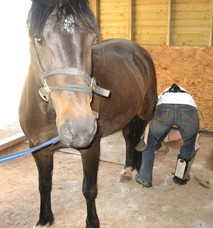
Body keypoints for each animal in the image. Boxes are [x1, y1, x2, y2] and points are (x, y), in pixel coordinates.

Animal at [18, 0, 156, 227]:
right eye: (38, 39)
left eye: (93, 39)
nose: (80, 129)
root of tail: (137, 50)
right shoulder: (39, 149)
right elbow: (44, 184)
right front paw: (45, 218)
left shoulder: (91, 148)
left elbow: (89, 190)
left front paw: (92, 222)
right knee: (130, 138)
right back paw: (128, 168)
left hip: (145, 112)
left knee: (138, 140)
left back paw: (137, 170)